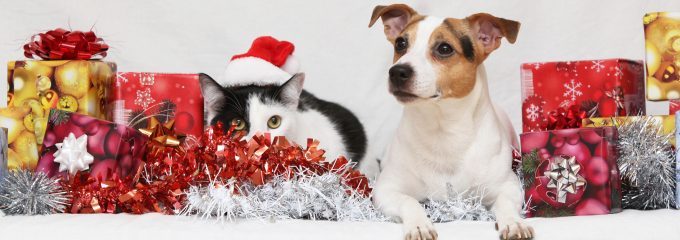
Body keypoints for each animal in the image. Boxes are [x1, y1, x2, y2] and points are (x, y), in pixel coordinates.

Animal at [370, 3, 532, 240]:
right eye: (401, 43)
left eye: (444, 48)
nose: (397, 71)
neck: (443, 130)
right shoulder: (386, 189)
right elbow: (409, 201)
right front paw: (419, 225)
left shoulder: (508, 186)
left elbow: (506, 203)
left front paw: (514, 223)